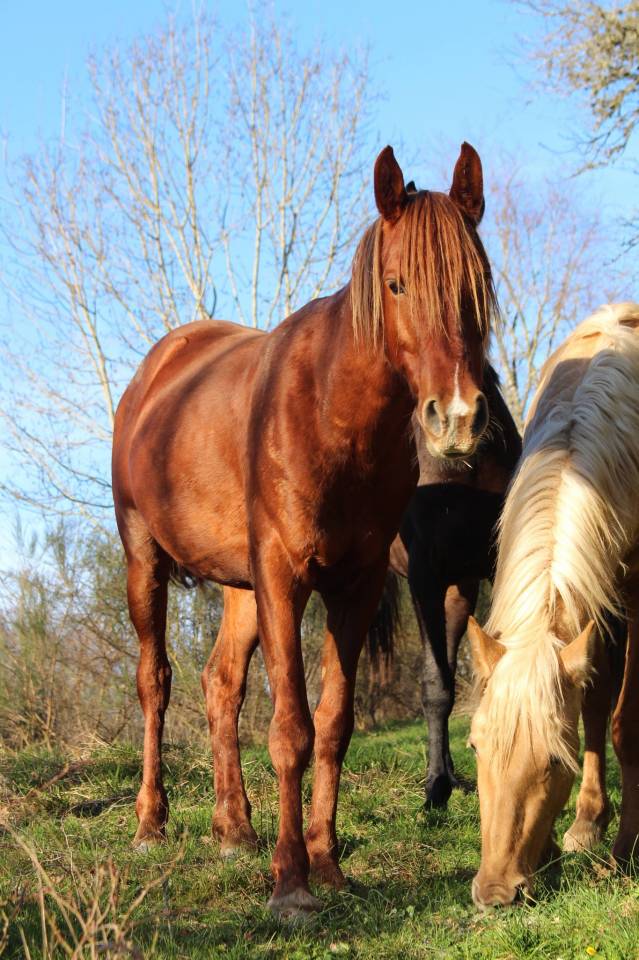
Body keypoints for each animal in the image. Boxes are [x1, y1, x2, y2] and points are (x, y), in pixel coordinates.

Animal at [112, 143, 498, 919]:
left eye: (480, 283)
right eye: (396, 284)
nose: (458, 419)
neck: (328, 413)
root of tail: (158, 367)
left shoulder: (355, 586)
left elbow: (334, 725)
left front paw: (326, 864)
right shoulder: (287, 582)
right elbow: (291, 727)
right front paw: (291, 883)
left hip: (241, 586)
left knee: (220, 683)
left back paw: (235, 830)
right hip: (144, 558)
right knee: (155, 683)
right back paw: (150, 824)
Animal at [467, 302, 639, 908]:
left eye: (551, 762)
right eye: (475, 746)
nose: (496, 892)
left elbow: (624, 723)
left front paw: (622, 853)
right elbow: (594, 707)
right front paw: (579, 831)